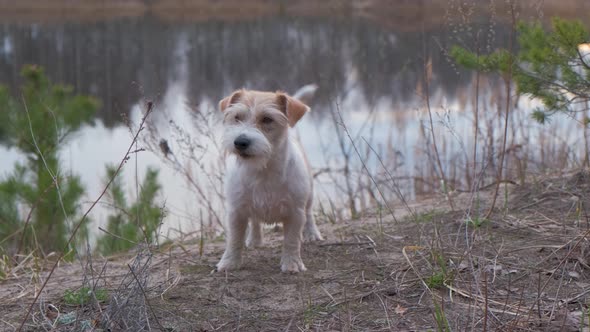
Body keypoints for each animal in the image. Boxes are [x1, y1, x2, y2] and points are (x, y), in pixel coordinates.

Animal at [216, 87, 324, 272]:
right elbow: (234, 240)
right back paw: (254, 239)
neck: (263, 170)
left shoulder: (295, 213)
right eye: (237, 117)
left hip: (309, 195)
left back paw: (312, 233)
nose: (240, 142)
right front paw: (229, 262)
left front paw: (292, 263)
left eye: (267, 119)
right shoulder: (236, 212)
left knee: (309, 214)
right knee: (255, 221)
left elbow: (292, 240)